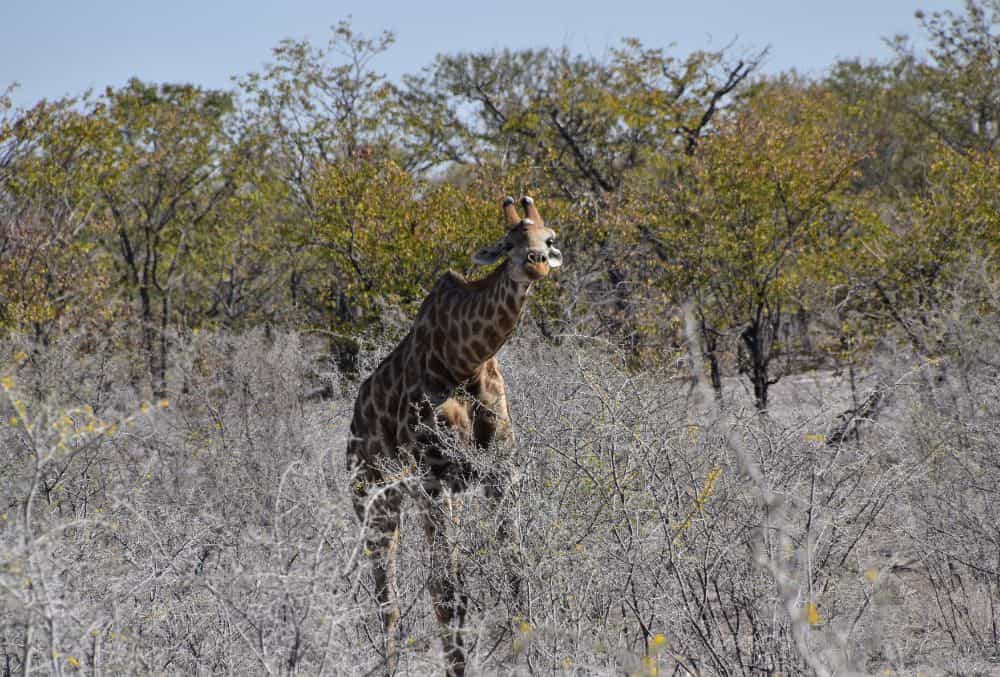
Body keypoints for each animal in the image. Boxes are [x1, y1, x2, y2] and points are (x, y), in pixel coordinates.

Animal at [348, 195, 560, 676]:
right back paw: (390, 665)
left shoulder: (499, 473)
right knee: (387, 595)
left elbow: (516, 571)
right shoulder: (433, 479)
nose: (537, 263)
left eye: (549, 239)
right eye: (508, 243)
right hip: (374, 502)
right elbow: (446, 589)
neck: (466, 360)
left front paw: (530, 656)